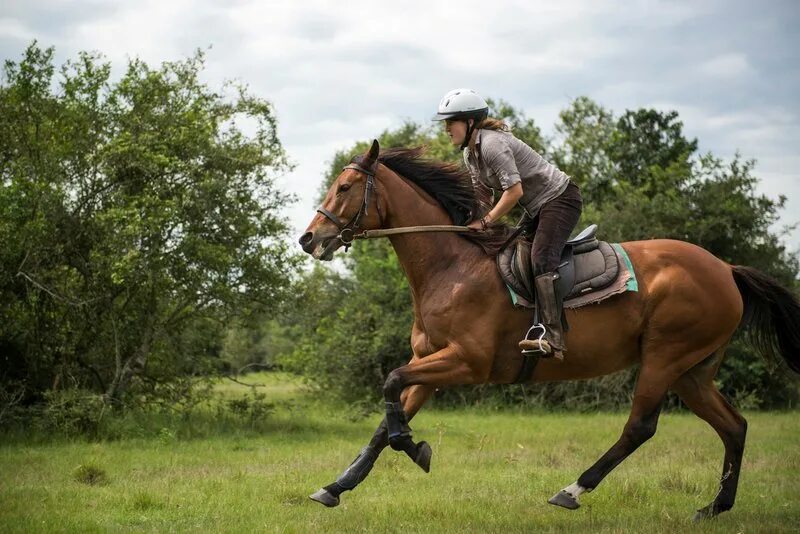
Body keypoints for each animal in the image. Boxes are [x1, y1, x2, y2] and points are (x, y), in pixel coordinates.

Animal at [296, 140, 796, 520]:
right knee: (734, 426)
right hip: (693, 371)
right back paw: (715, 507)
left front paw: (414, 447)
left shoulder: (465, 362)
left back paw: (572, 491)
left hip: (664, 357)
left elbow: (391, 385)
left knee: (640, 427)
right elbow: (386, 419)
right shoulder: (430, 362)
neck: (451, 268)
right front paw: (336, 486)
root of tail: (726, 269)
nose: (308, 239)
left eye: (344, 187)